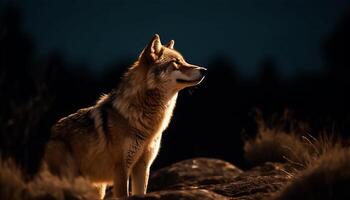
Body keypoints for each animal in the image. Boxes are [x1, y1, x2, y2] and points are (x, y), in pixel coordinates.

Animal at [42, 34, 206, 198]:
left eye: (184, 61)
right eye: (176, 62)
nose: (204, 70)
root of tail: (49, 136)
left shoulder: (143, 167)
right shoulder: (121, 168)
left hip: (97, 190)